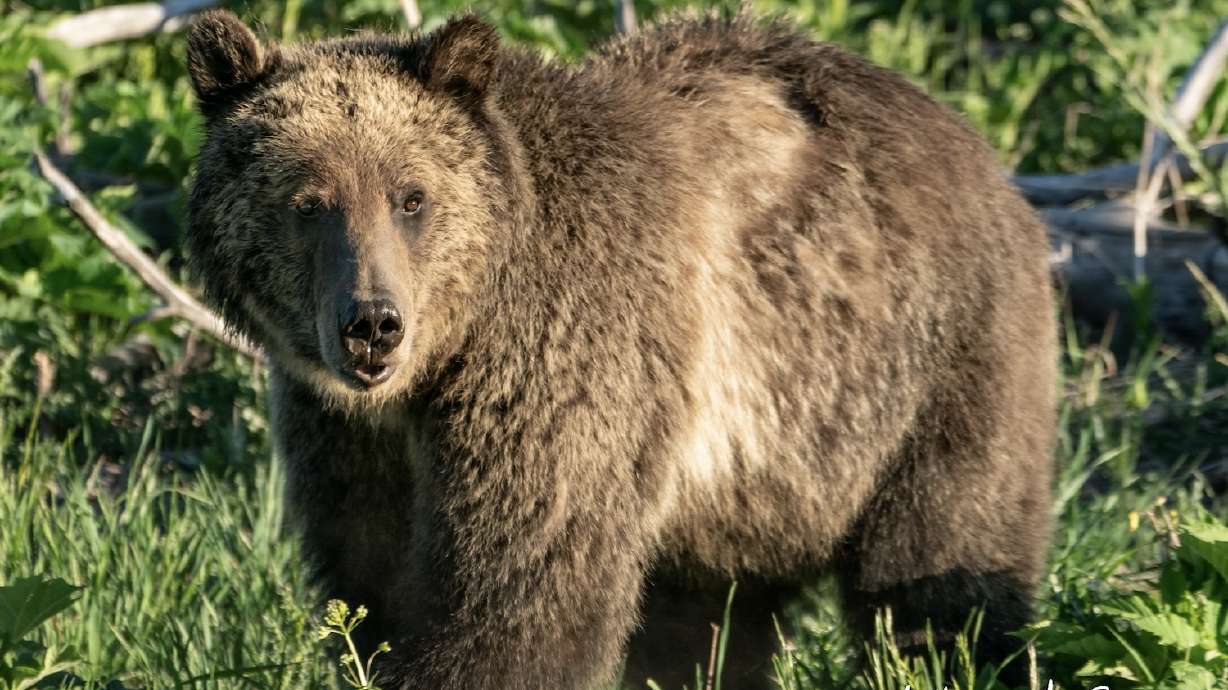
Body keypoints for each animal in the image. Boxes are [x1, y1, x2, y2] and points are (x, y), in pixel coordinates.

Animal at [185, 8, 1057, 690]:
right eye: (308, 202)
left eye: (411, 196)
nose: (372, 322)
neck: (450, 356)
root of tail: (979, 150)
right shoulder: (348, 439)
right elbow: (371, 582)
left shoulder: (562, 364)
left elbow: (519, 592)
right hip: (748, 491)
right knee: (705, 623)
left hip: (923, 368)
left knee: (942, 569)